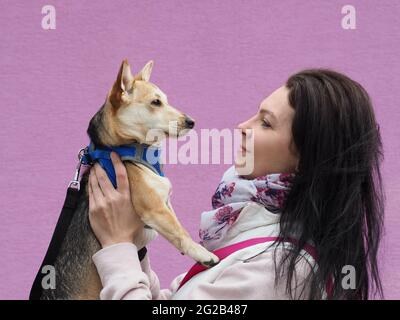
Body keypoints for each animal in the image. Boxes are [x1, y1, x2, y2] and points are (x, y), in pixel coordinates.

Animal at [41, 59, 219, 300]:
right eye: (156, 102)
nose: (191, 122)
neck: (132, 149)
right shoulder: (155, 209)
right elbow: (179, 230)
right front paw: (201, 252)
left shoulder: (165, 204)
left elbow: (176, 222)